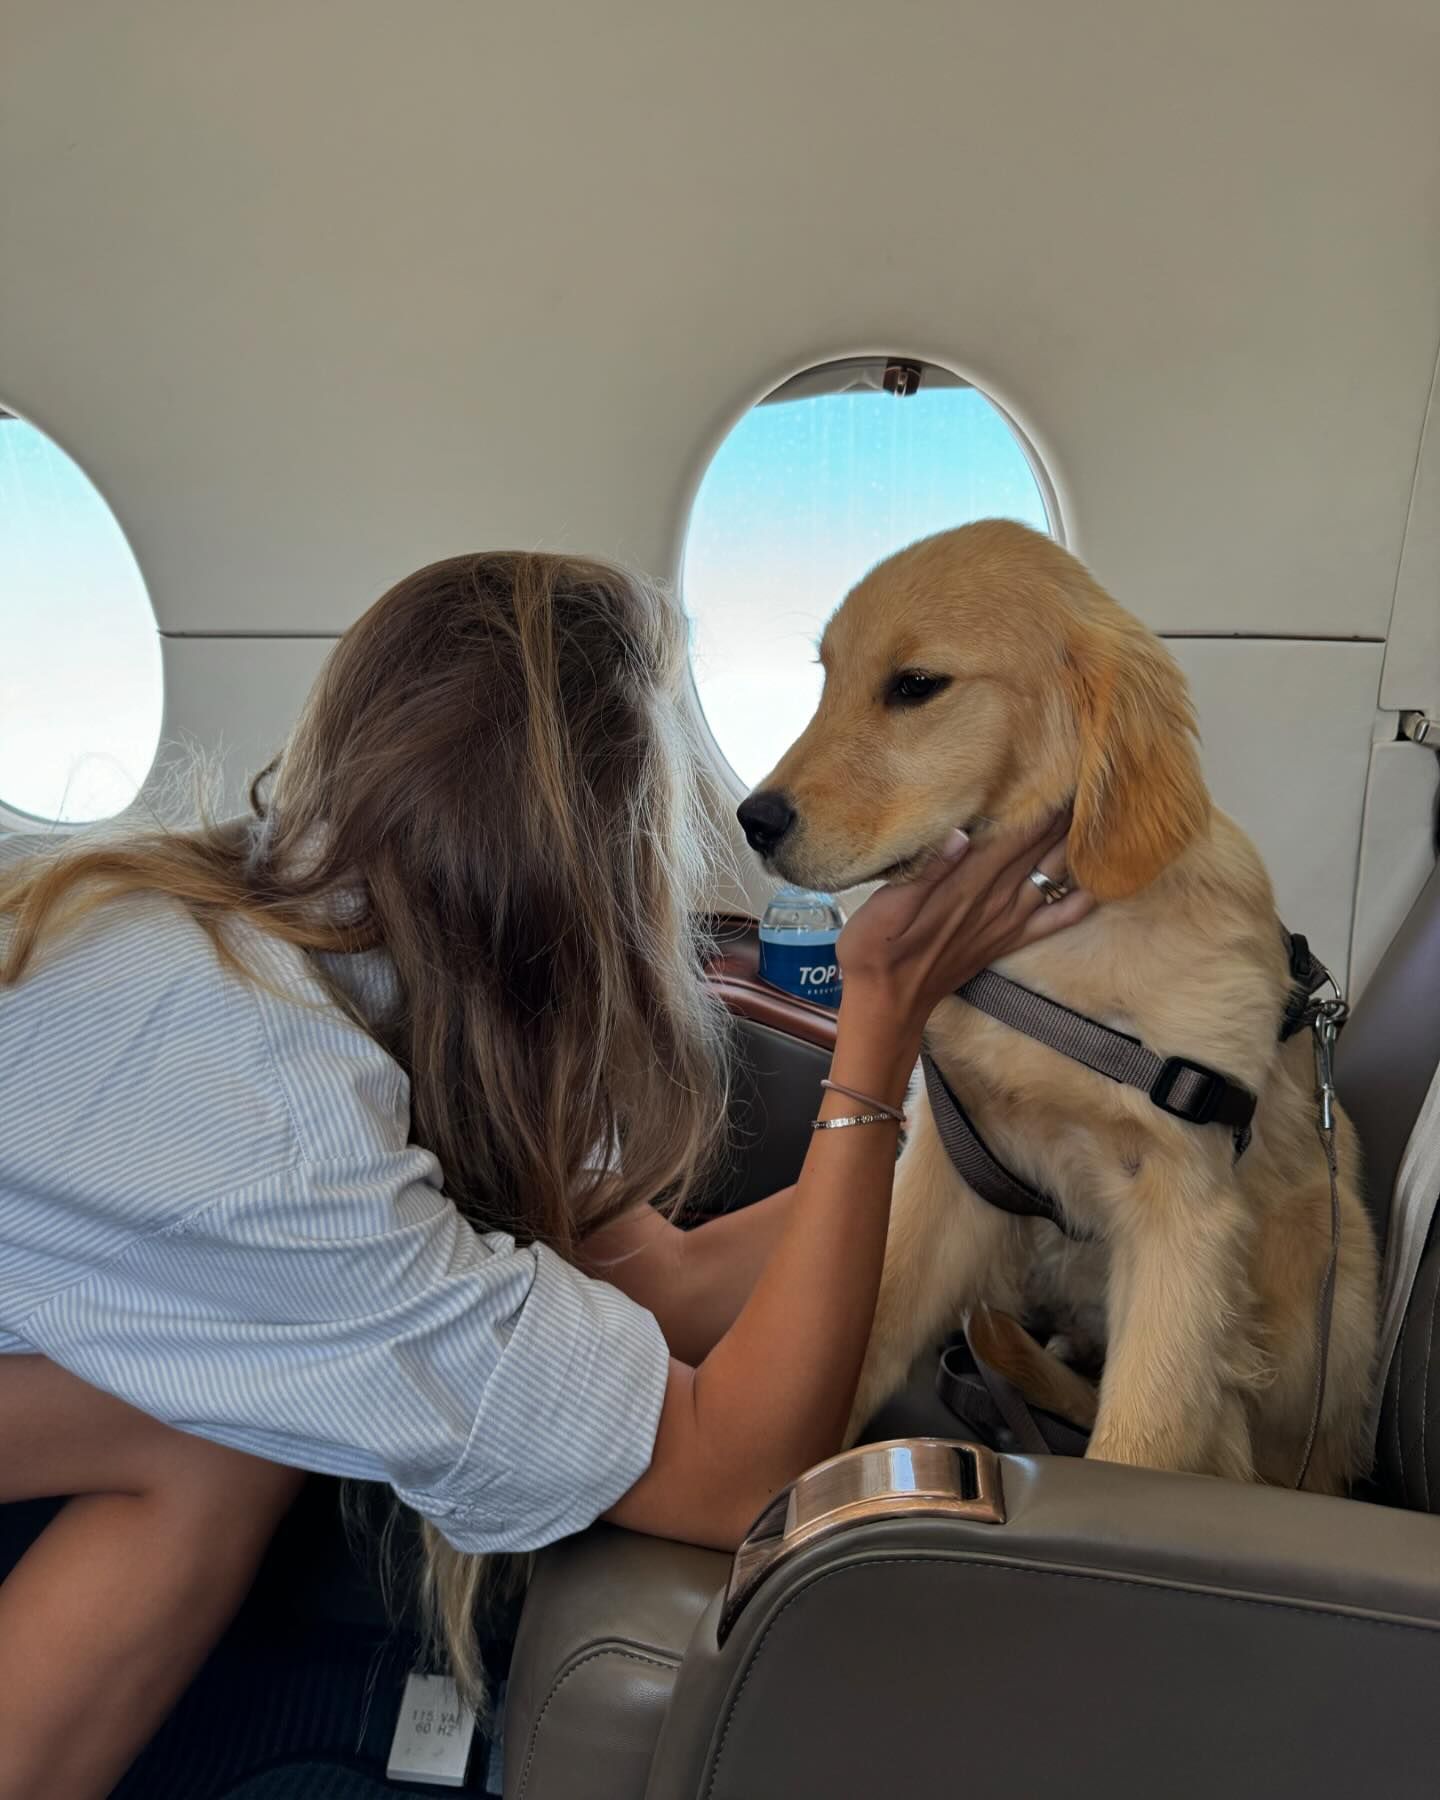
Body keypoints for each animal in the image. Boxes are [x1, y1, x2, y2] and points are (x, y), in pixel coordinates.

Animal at [748, 518, 1375, 1490]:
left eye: (915, 686)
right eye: (827, 680)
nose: (754, 820)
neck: (1056, 960)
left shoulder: (1182, 1213)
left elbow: (1142, 1441)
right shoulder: (949, 1162)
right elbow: (874, 1322)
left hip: (1318, 1269)